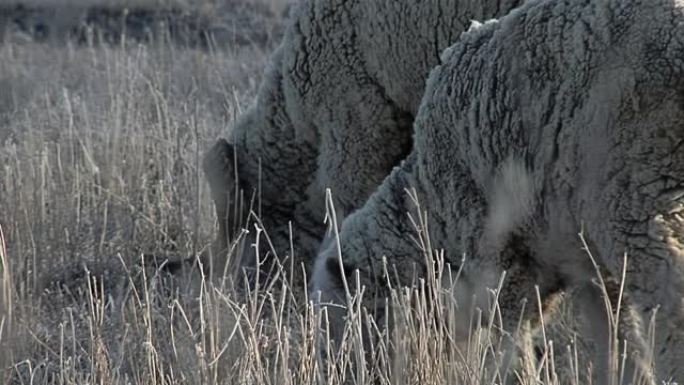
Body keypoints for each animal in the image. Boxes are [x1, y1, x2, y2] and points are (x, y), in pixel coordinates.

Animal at [312, 0, 684, 380]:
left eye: (344, 320)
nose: (338, 371)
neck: (427, 209)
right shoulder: (582, 257)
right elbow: (616, 330)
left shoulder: (498, 255)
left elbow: (510, 334)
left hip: (634, 193)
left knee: (672, 293)